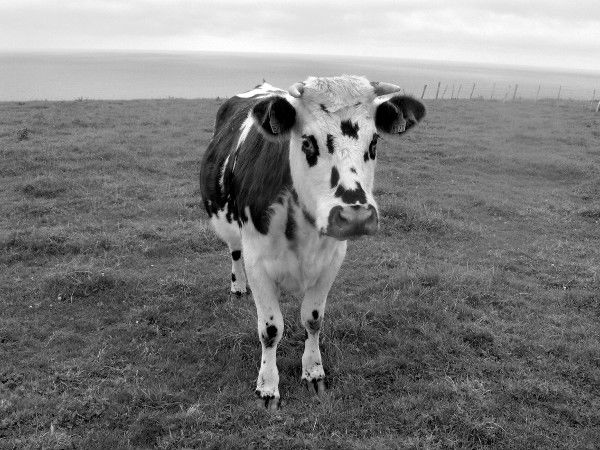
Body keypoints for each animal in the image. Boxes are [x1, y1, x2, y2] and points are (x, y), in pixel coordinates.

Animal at [199, 74, 424, 412]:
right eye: (307, 142)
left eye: (373, 143)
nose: (355, 216)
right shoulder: (258, 263)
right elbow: (270, 329)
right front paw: (267, 386)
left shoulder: (332, 260)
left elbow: (313, 320)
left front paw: (313, 372)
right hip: (232, 232)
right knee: (234, 251)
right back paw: (238, 286)